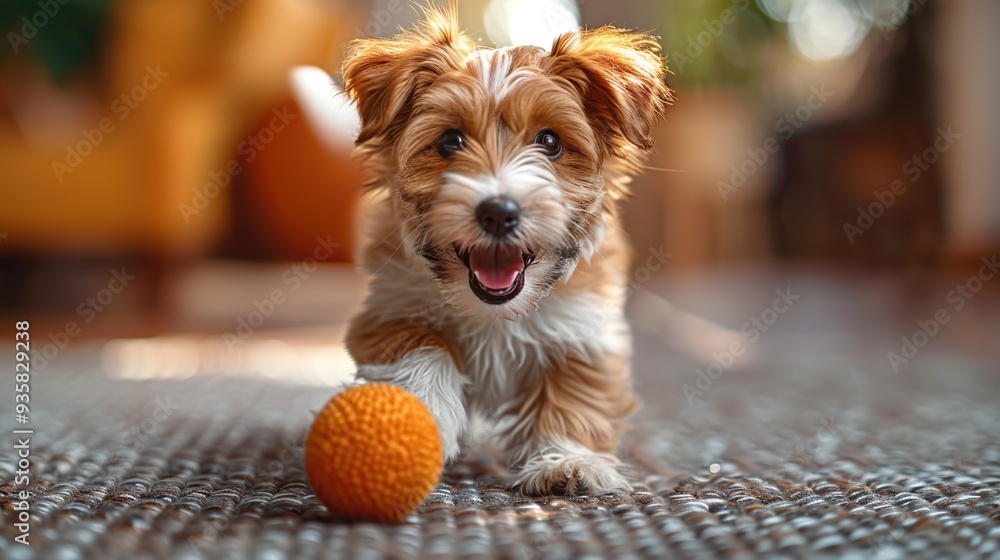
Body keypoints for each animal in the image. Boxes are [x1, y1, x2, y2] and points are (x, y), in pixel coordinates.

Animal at [342, 4, 672, 494]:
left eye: (550, 142)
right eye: (450, 141)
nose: (498, 212)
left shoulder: (584, 329)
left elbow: (573, 395)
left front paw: (566, 462)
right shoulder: (390, 307)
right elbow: (421, 351)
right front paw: (413, 423)